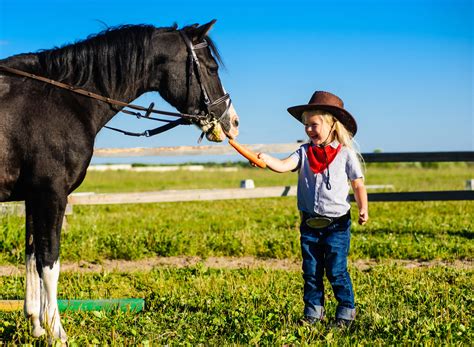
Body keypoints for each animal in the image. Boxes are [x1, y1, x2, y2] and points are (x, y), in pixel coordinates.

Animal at [0, 20, 237, 344]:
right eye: (212, 68)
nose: (232, 121)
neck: (63, 100)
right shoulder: (51, 194)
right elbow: (49, 262)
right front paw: (56, 333)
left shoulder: (33, 197)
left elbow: (31, 256)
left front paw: (37, 325)